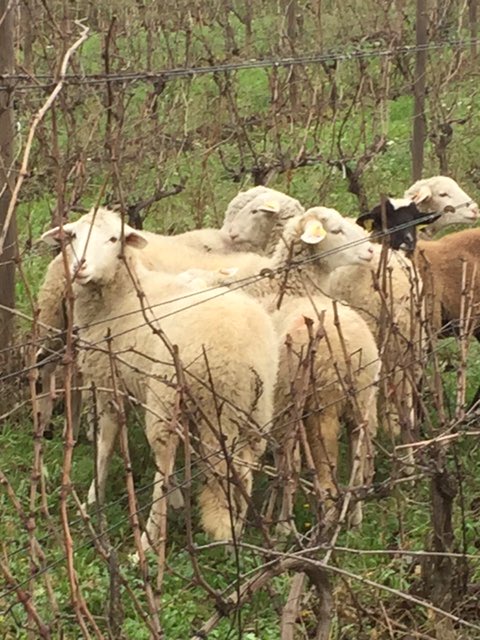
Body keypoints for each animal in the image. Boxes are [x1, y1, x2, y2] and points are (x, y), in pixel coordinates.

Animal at [40, 207, 279, 550]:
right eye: (72, 236)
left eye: (112, 239)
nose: (80, 266)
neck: (123, 296)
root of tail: (239, 356)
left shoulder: (110, 380)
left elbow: (105, 442)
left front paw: (92, 497)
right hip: (255, 409)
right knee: (244, 468)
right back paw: (233, 531)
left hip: (174, 399)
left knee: (164, 463)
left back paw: (149, 540)